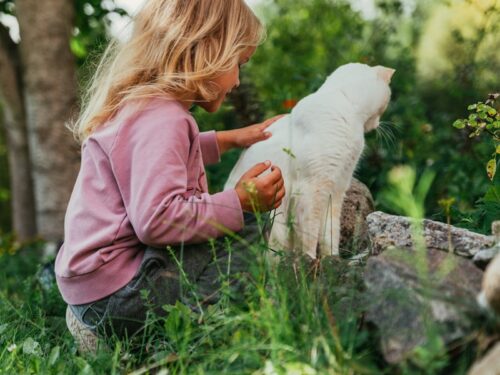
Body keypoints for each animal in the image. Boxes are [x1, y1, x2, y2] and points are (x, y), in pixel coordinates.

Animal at [226, 63, 394, 260]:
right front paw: (311, 260)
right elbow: (311, 234)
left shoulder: (336, 188)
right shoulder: (313, 188)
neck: (345, 103)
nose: (377, 124)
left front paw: (332, 259)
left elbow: (330, 233)